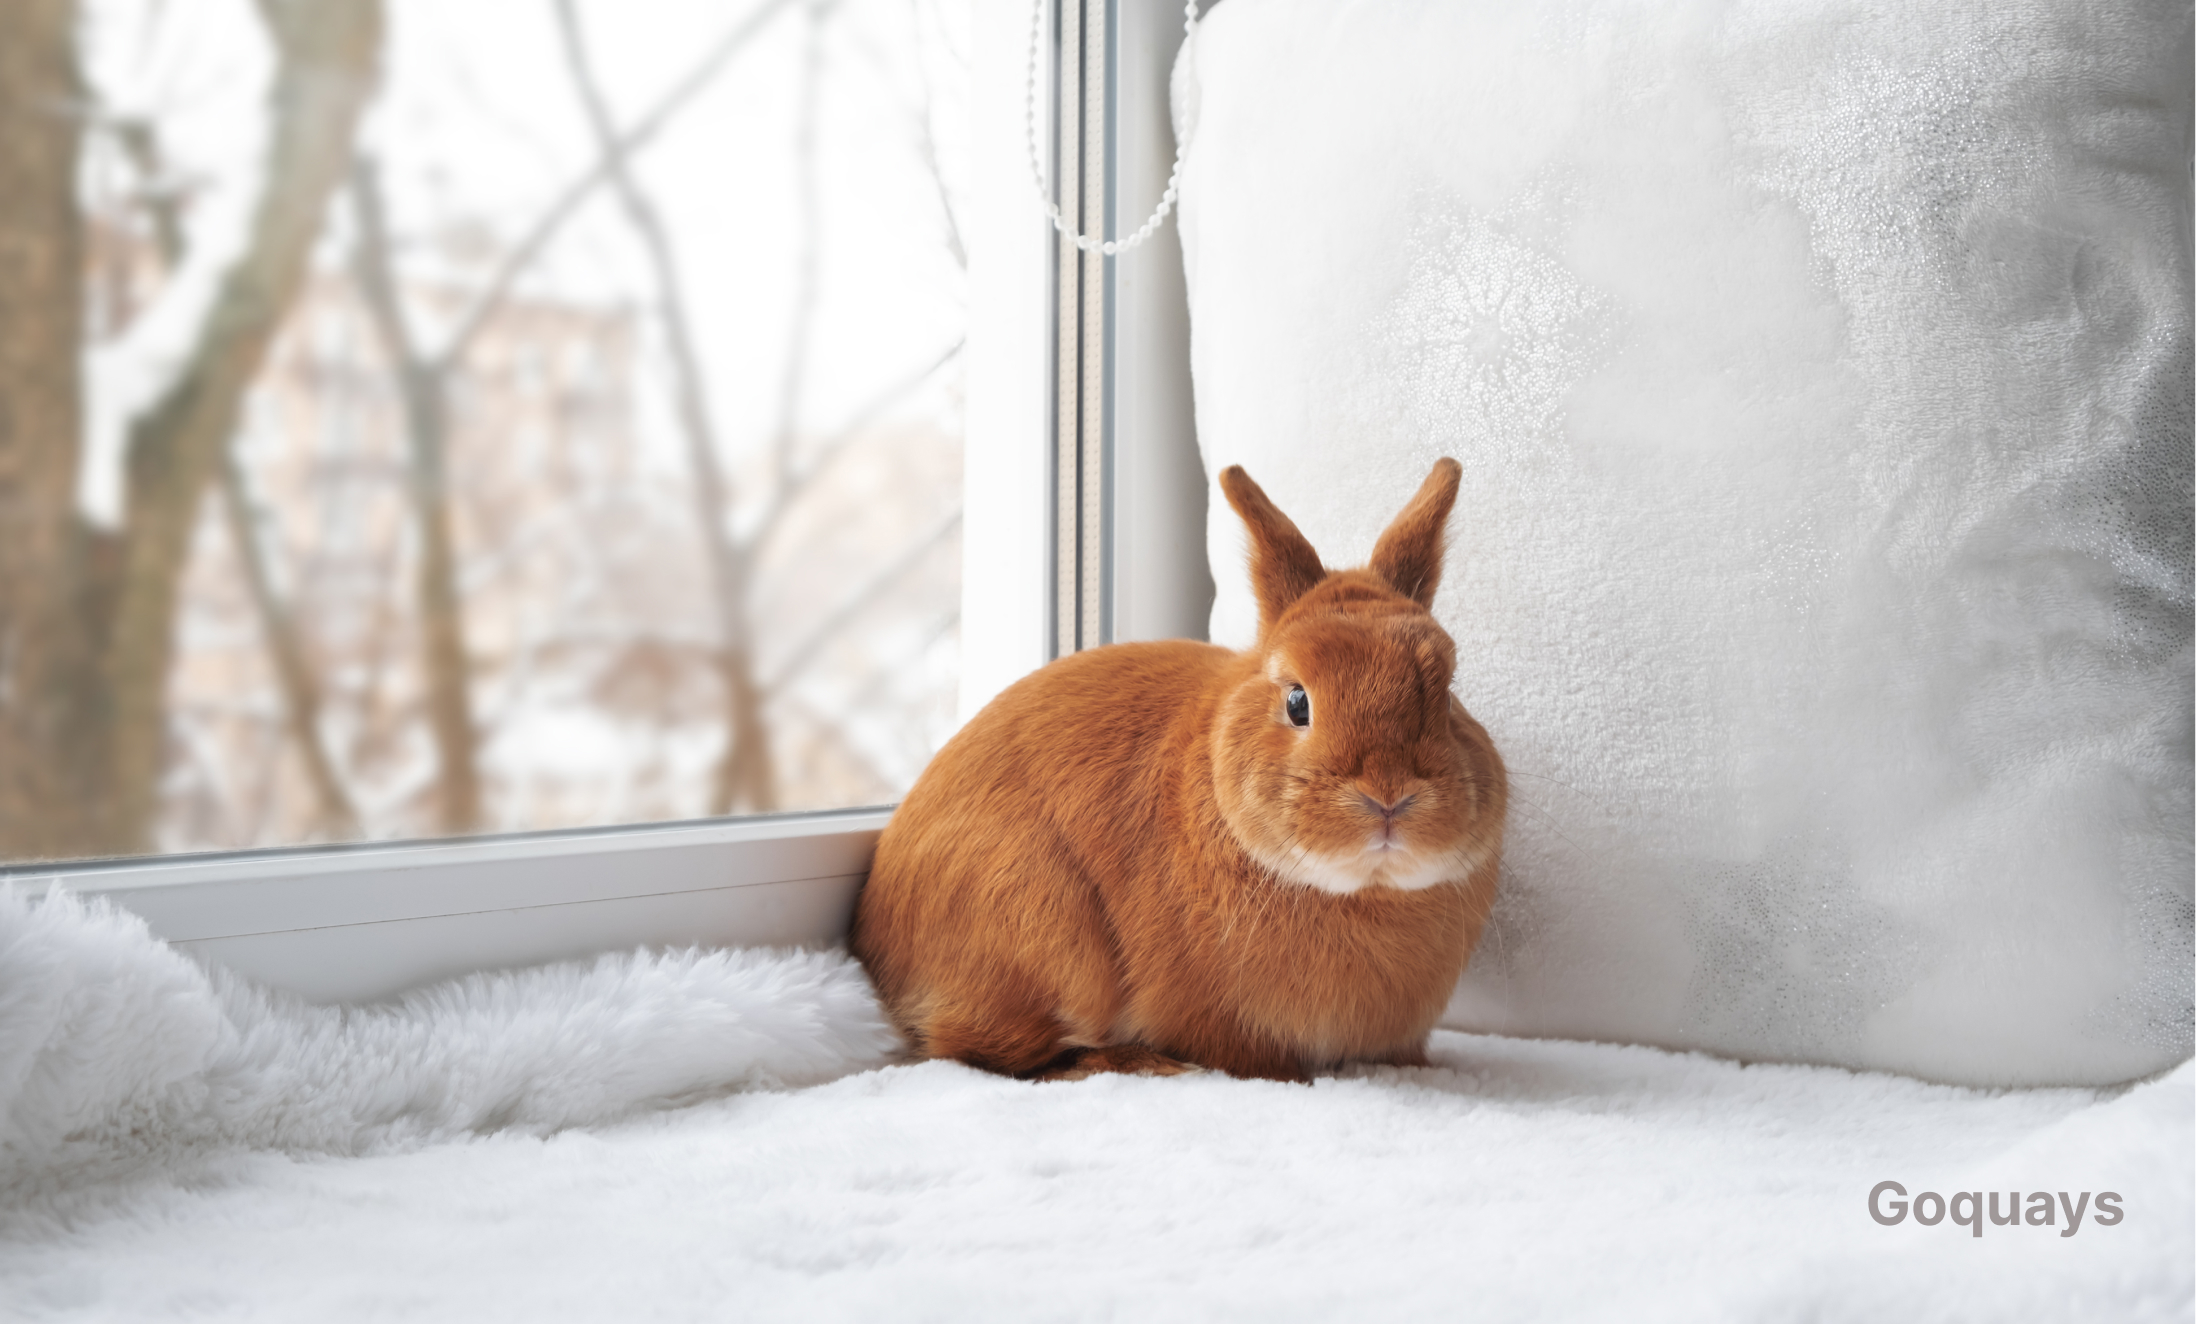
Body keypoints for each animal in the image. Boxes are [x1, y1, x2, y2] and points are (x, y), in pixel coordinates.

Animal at [849, 458, 1505, 1082]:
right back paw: (1140, 1064)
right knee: (988, 1052)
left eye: (1446, 696)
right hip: (1040, 931)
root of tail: (874, 936)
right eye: (1298, 702)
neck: (1363, 890)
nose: (1389, 795)